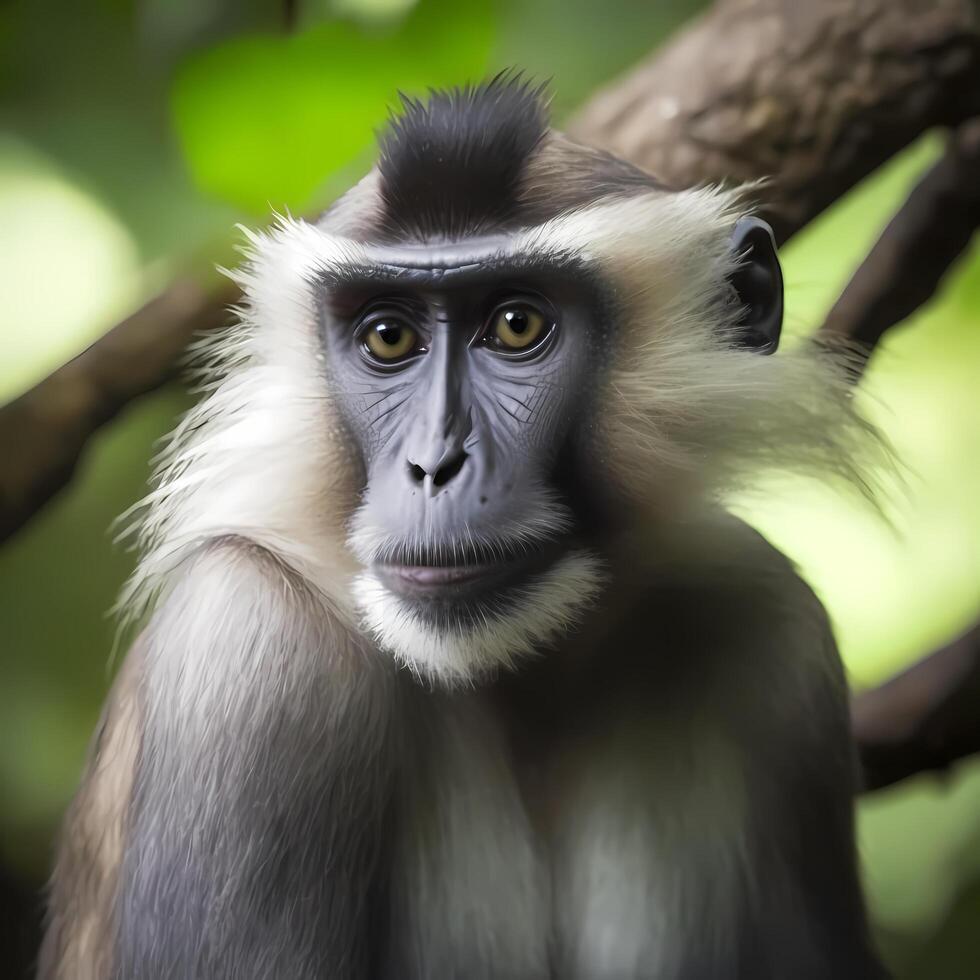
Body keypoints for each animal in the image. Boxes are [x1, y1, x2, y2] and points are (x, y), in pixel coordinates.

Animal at [40, 78, 888, 980]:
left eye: (517, 325)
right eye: (389, 336)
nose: (433, 465)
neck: (524, 677)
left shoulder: (773, 626)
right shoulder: (246, 653)